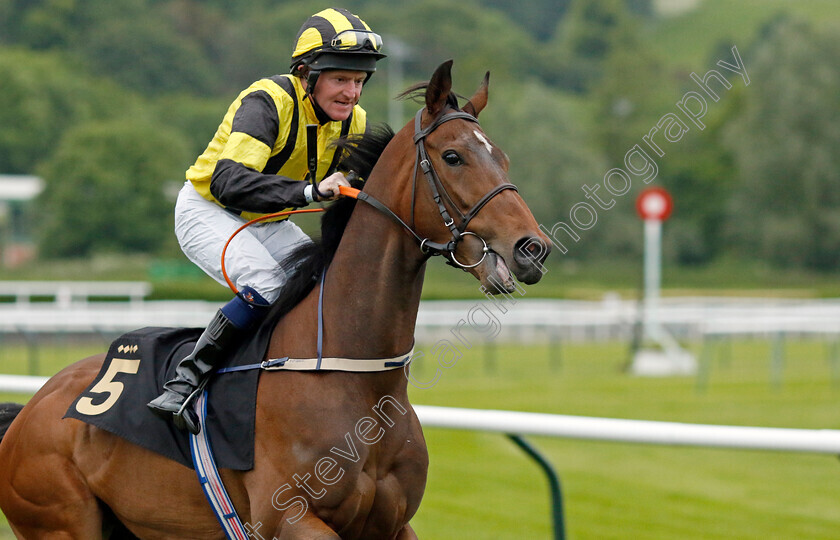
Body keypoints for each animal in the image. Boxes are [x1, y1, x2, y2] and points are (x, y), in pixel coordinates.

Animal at [0, 61, 552, 536]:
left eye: (502, 157)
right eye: (453, 156)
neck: (351, 376)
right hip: (60, 520)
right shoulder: (288, 519)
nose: (532, 248)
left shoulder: (392, 525)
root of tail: (31, 407)